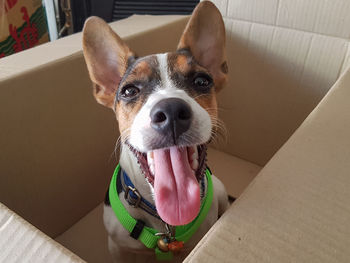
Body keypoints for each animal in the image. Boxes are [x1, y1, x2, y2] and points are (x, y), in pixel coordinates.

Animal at [82, 1, 230, 262]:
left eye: (202, 81)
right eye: (129, 90)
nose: (171, 111)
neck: (166, 223)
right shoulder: (117, 248)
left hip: (220, 191)